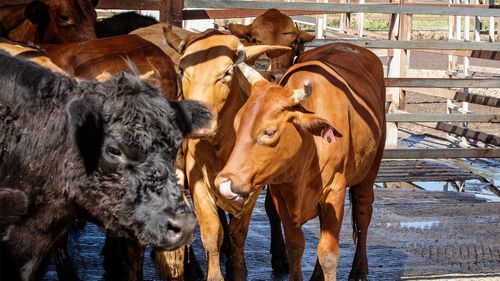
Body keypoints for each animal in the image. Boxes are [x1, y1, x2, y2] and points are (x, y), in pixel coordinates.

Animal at [216, 42, 386, 280]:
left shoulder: (334, 189)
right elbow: (296, 246)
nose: (225, 182)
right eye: (236, 123)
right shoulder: (281, 194)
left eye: (269, 132)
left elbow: (328, 253)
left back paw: (359, 270)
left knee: (363, 213)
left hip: (370, 170)